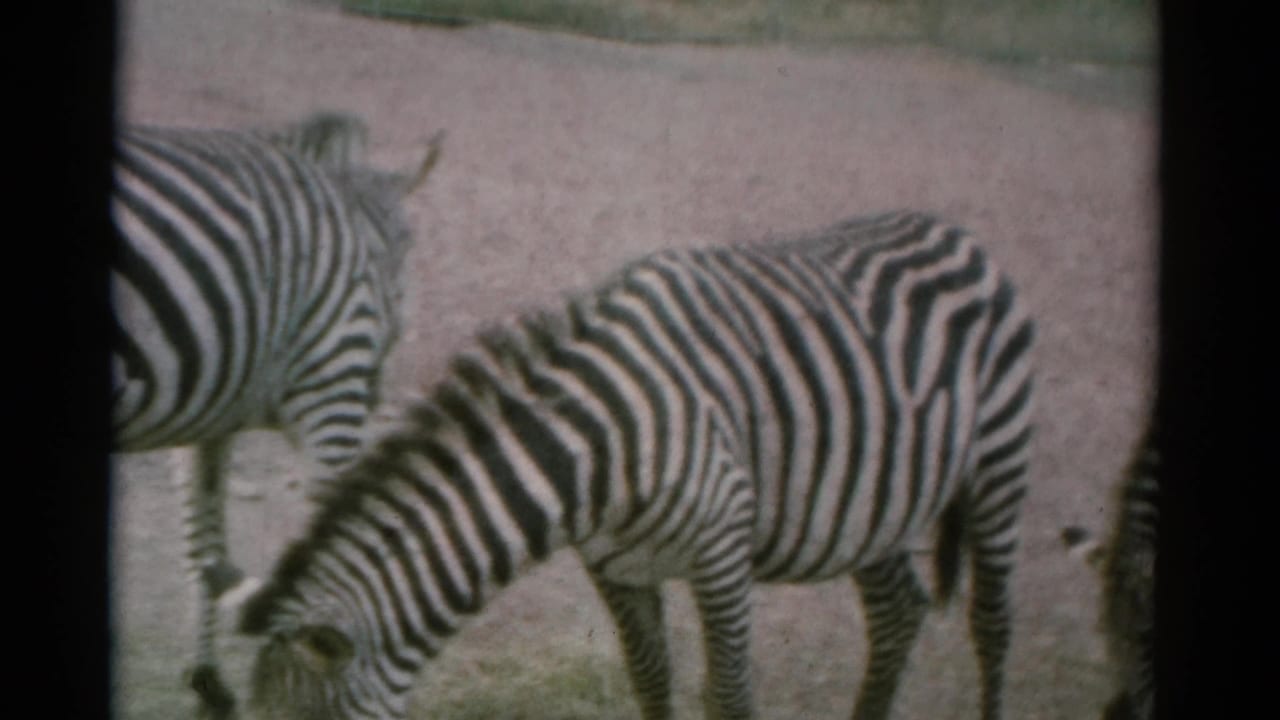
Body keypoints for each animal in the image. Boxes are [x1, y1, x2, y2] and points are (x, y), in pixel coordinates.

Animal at [111, 113, 443, 718]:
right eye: (405, 247)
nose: (377, 387)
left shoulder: (206, 409)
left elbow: (202, 548)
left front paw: (207, 684)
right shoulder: (332, 385)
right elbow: (332, 550)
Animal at [237, 210, 1036, 720]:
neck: (594, 451)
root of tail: (955, 231)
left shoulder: (721, 551)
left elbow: (729, 695)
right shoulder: (613, 565)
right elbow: (651, 680)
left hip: (998, 465)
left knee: (992, 624)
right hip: (873, 501)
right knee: (898, 612)